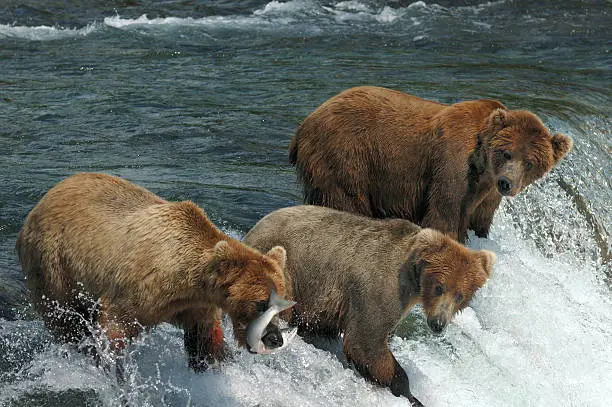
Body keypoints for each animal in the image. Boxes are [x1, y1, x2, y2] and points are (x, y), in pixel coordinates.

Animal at [16, 174, 290, 372]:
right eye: (260, 303)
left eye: (282, 306)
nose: (274, 338)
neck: (184, 279)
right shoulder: (137, 288)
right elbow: (114, 329)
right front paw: (114, 368)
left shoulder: (197, 306)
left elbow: (205, 343)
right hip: (53, 264)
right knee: (65, 320)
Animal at [241, 206, 494, 406]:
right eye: (440, 287)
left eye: (461, 295)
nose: (438, 324)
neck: (414, 281)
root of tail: (251, 232)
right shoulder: (382, 286)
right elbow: (366, 341)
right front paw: (408, 391)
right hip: (286, 267)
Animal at [290, 84, 572, 241]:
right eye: (507, 153)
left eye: (530, 163)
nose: (507, 183)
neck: (483, 167)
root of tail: (305, 123)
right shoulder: (452, 166)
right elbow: (443, 215)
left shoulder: (486, 195)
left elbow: (480, 222)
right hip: (345, 154)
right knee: (347, 199)